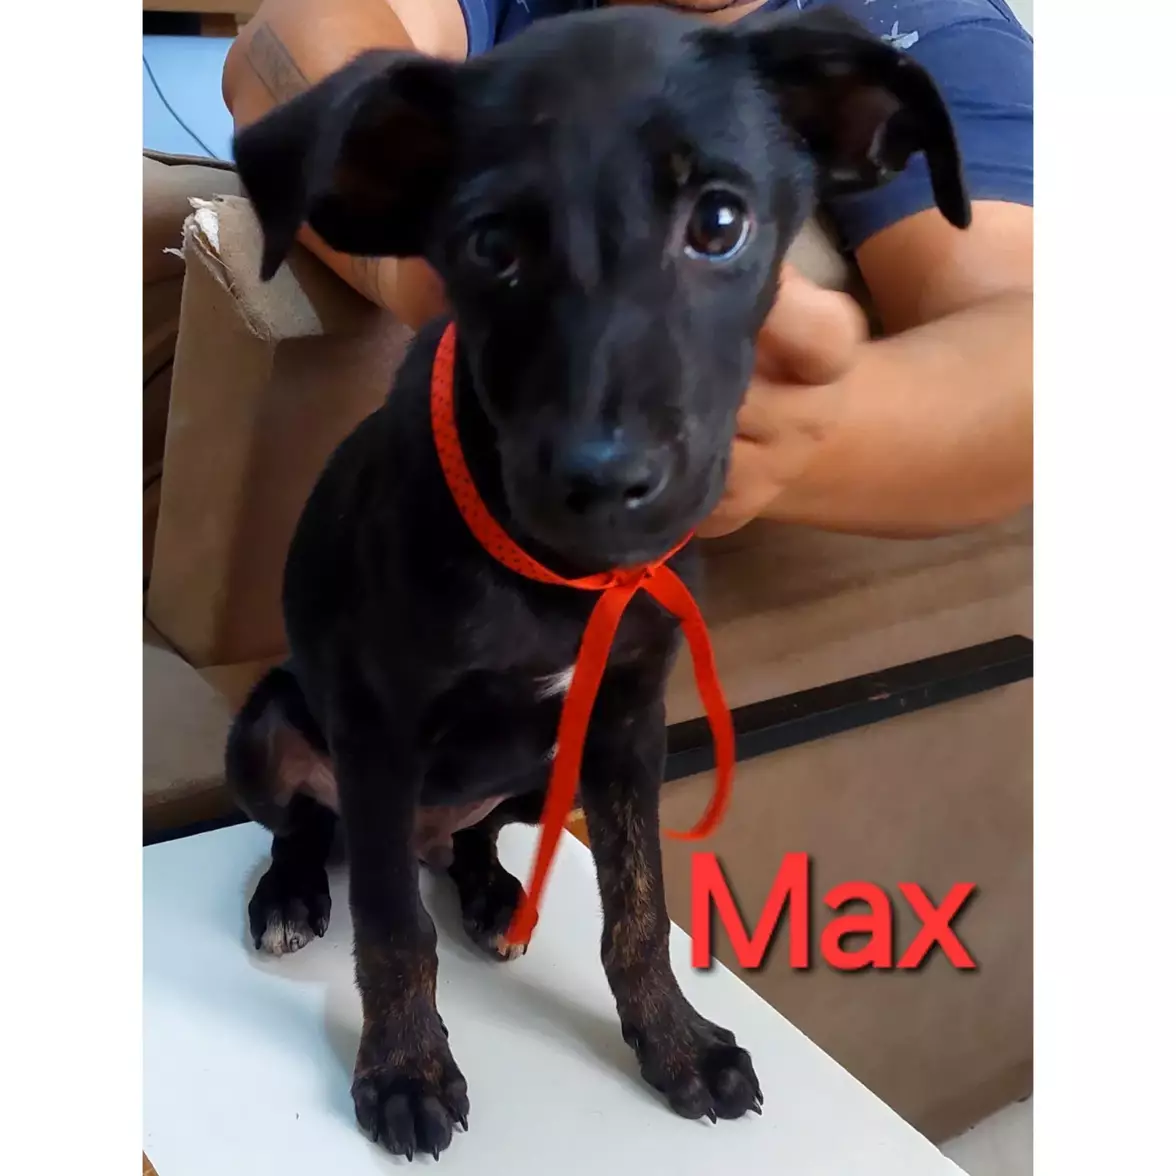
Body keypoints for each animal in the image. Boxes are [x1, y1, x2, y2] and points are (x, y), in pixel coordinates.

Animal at [228, 4, 969, 1160]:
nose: (604, 483)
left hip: (549, 766)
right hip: (269, 730)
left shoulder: (626, 722)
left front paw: (677, 1044)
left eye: (720, 223)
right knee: (309, 827)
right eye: (490, 247)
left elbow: (638, 907)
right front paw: (405, 1070)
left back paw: (492, 894)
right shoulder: (378, 729)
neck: (554, 578)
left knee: (471, 835)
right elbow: (393, 927)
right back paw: (293, 895)